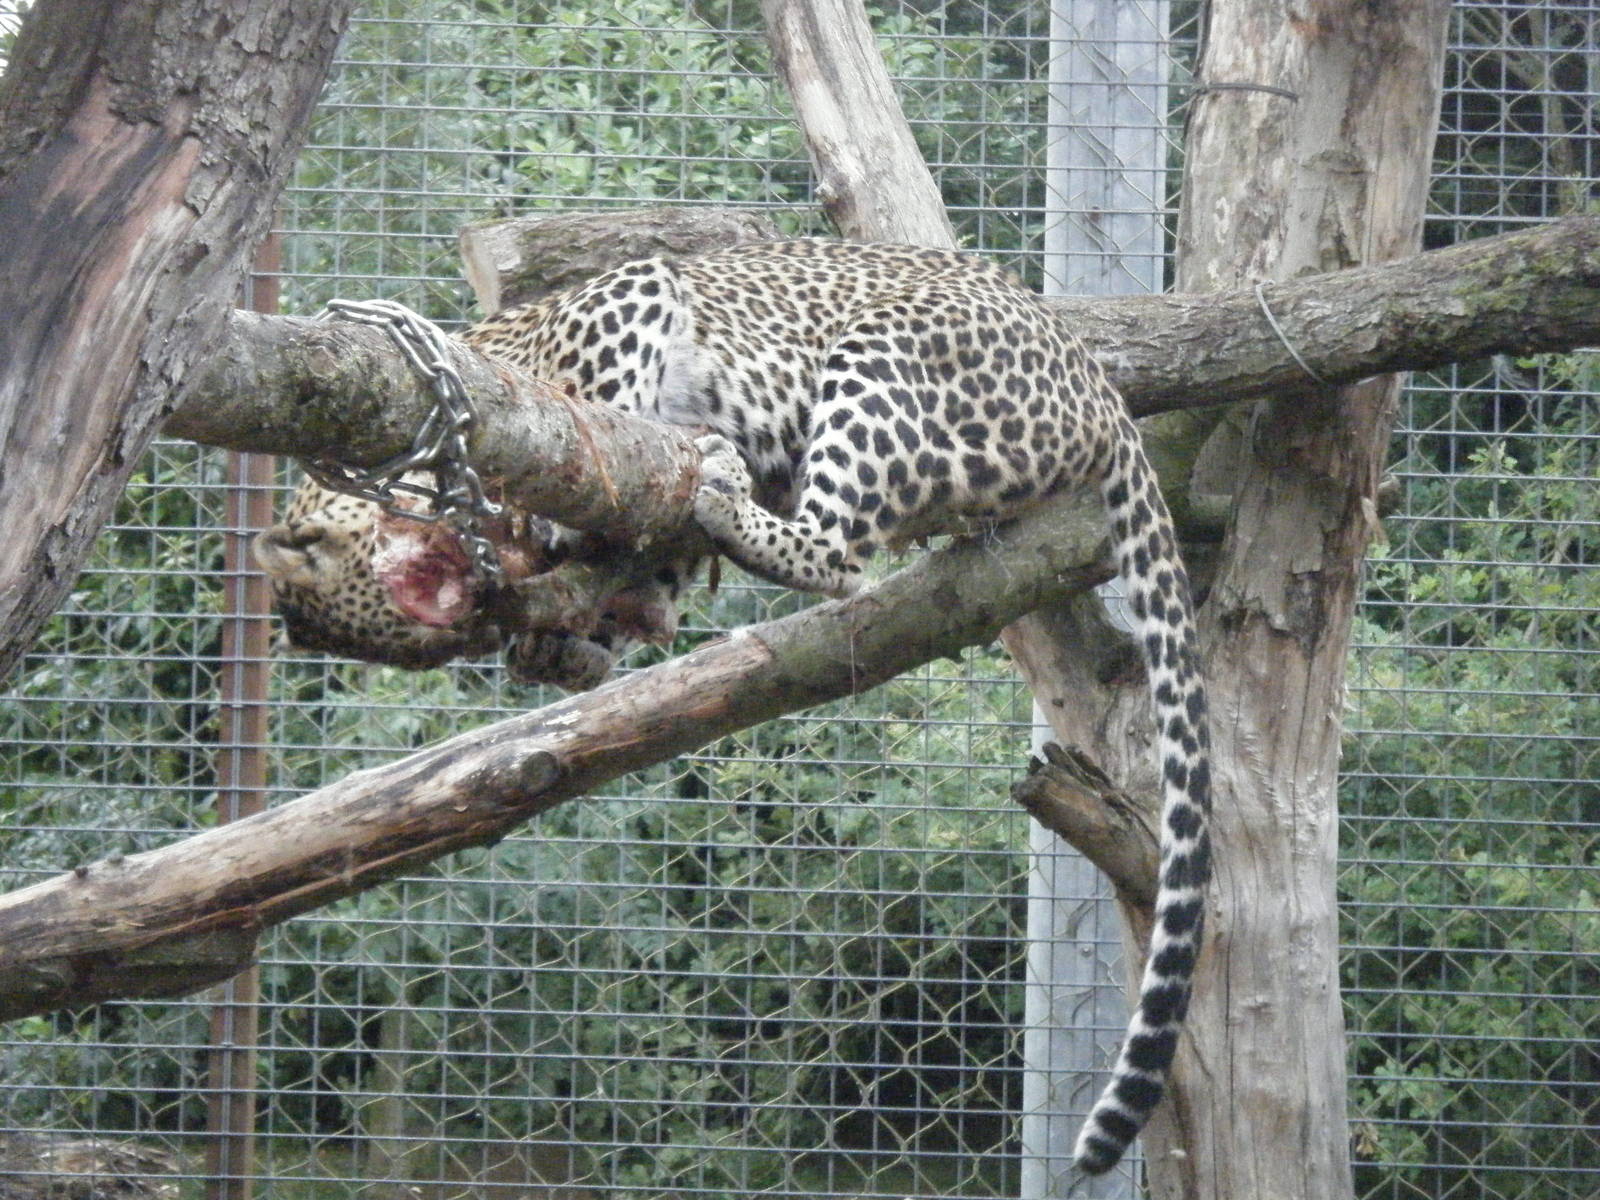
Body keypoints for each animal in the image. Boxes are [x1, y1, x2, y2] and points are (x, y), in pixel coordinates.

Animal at [254, 238, 1212, 1175]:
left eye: (426, 587)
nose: (492, 598)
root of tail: (1092, 373)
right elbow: (644, 574)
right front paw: (571, 638)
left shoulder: (627, 296)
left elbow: (596, 401)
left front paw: (569, 535)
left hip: (885, 354)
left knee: (837, 555)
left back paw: (728, 492)